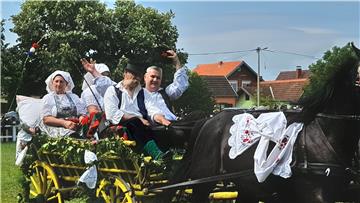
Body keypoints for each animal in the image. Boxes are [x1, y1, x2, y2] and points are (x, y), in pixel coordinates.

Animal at [183, 43, 360, 203]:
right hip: (202, 183)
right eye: (358, 77)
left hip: (246, 186)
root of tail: (208, 121)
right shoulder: (314, 193)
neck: (325, 134)